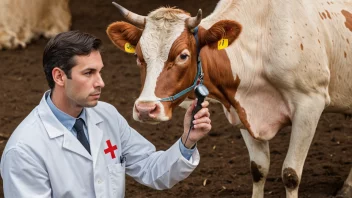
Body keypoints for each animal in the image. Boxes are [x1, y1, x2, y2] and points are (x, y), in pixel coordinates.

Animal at [107, 0, 352, 198]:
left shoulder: (309, 104)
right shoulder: (241, 109)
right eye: (138, 56)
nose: (146, 109)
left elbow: (291, 174)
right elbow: (258, 169)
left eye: (183, 55)